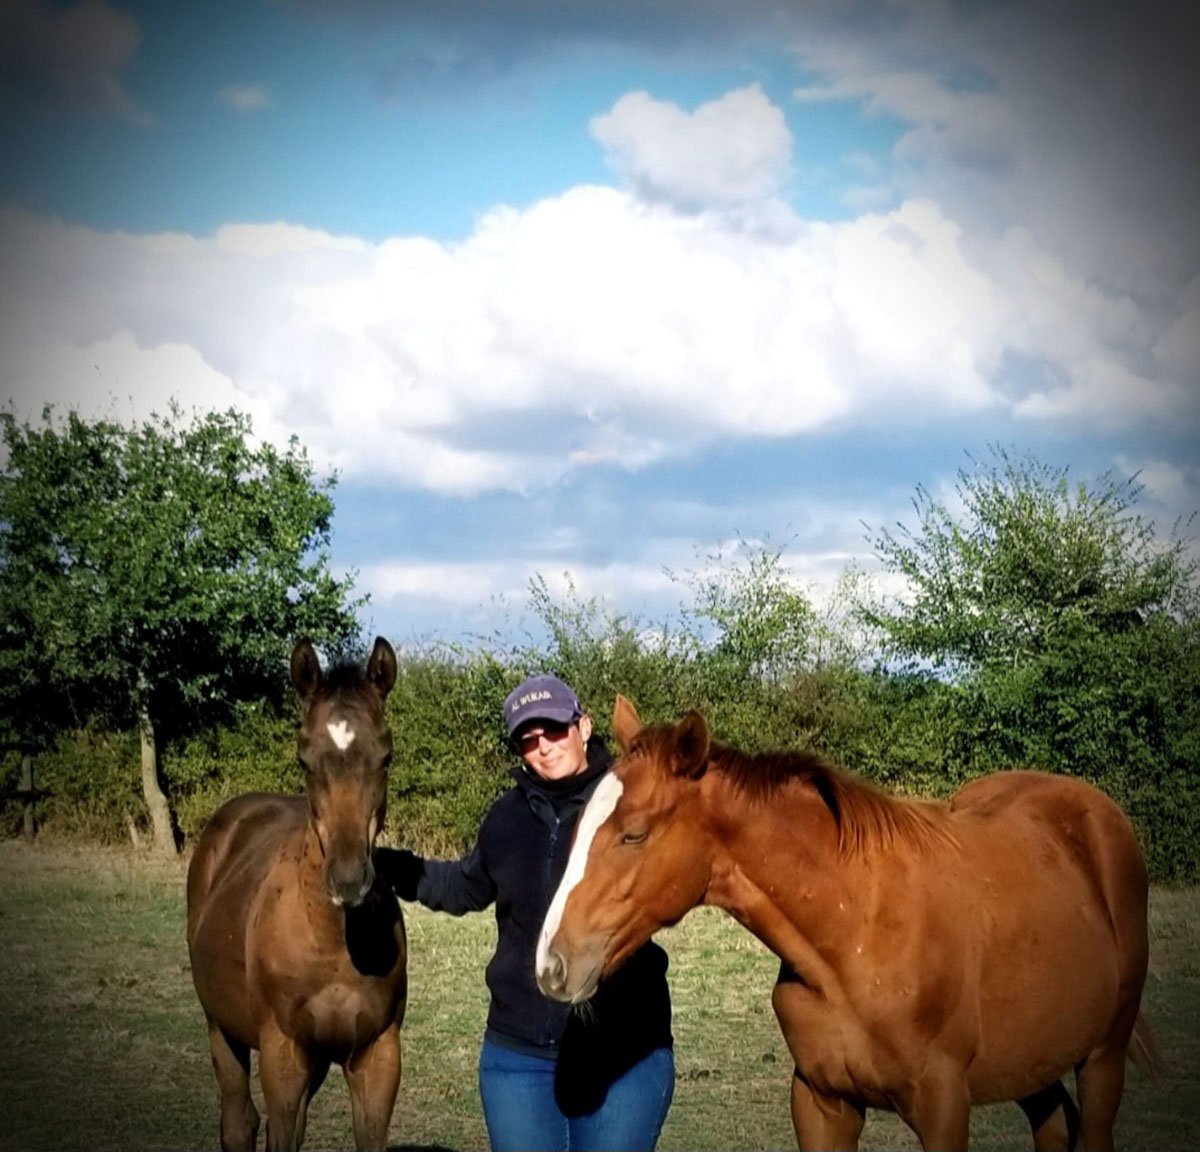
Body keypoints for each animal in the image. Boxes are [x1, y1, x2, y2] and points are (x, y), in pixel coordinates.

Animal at [187, 637, 407, 1152]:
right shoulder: (283, 1054)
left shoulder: (377, 1054)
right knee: (240, 1121)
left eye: (386, 756)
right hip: (220, 1026)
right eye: (304, 758)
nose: (348, 880)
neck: (334, 945)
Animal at [536, 696, 1155, 1152]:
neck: (854, 935)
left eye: (634, 834)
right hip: (1035, 1061)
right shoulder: (821, 1102)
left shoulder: (944, 1107)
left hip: (1103, 1056)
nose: (551, 965)